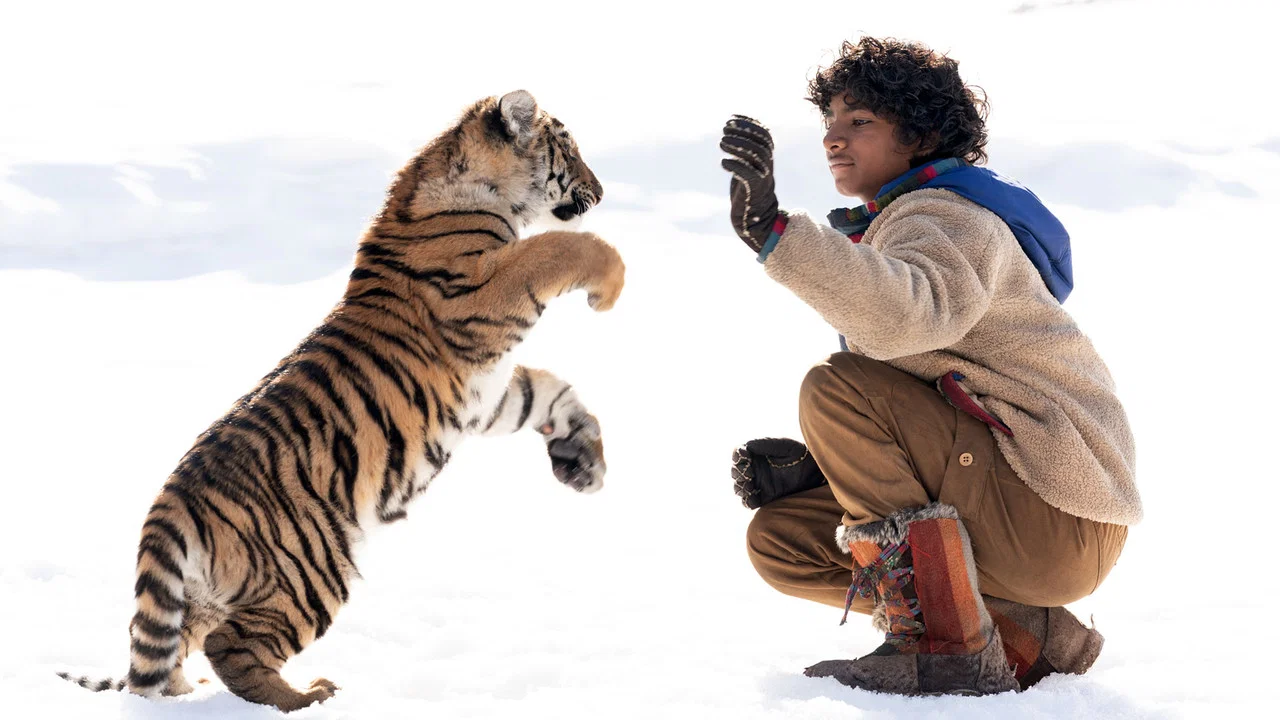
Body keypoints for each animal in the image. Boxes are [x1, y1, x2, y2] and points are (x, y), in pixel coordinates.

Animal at [58, 89, 625, 712]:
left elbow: (550, 393)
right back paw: (307, 697)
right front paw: (609, 288)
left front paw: (583, 463)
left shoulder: (488, 395)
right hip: (311, 569)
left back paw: (186, 694)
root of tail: (168, 504)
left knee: (172, 652)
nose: (602, 190)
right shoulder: (479, 293)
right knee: (234, 647)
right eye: (568, 148)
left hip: (210, 593)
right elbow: (561, 247)